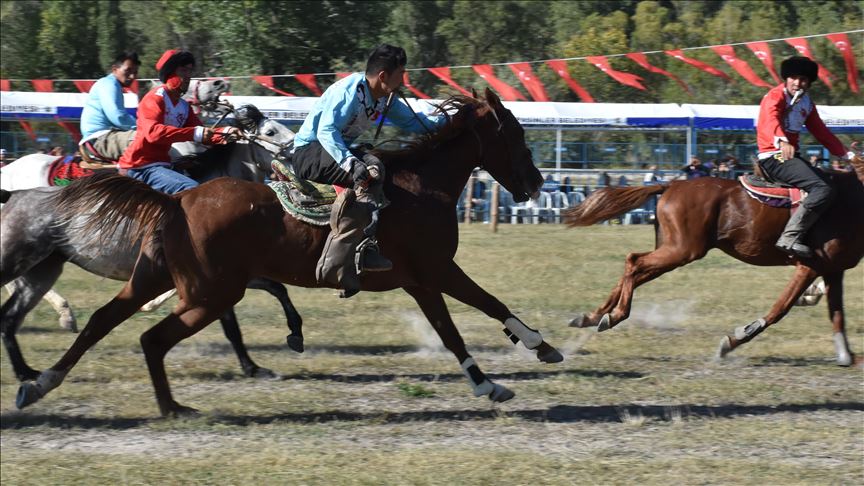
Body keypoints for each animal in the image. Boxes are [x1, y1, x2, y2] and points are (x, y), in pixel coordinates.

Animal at [0, 107, 308, 384]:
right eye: (270, 132)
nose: (300, 159)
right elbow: (234, 321)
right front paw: (254, 365)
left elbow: (274, 290)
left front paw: (270, 354)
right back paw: (61, 323)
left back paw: (32, 364)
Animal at [564, 150, 860, 366]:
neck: (851, 198)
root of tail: (670, 185)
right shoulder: (809, 265)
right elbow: (781, 308)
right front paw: (735, 339)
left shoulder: (834, 270)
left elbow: (837, 314)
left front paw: (847, 355)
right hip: (681, 250)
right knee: (634, 262)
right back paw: (613, 316)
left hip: (674, 249)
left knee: (634, 268)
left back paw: (593, 316)